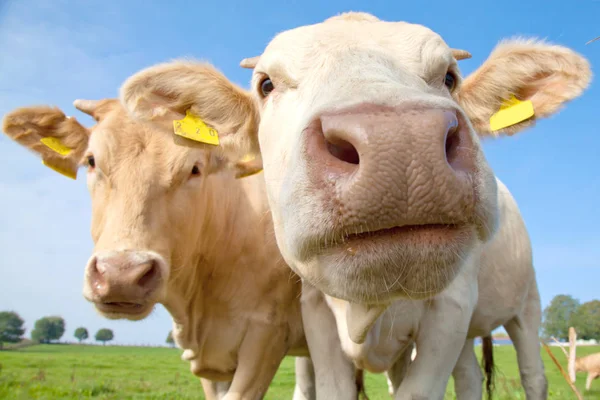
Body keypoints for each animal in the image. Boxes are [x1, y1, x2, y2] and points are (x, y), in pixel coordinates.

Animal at [117, 10, 592, 398]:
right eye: (266, 84)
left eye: (449, 77)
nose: (401, 142)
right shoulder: (315, 314)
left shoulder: (453, 306)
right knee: (470, 377)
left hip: (527, 304)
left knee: (533, 374)